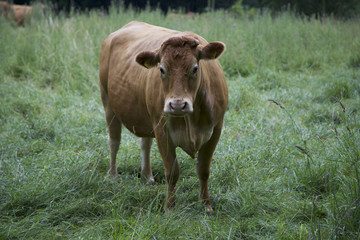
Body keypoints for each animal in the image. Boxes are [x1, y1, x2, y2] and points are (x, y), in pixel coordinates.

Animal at [98, 21, 228, 212]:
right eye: (161, 69)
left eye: (195, 68)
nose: (177, 105)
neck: (191, 121)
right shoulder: (162, 131)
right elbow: (172, 172)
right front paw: (170, 207)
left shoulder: (216, 130)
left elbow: (203, 170)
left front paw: (206, 206)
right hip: (108, 103)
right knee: (114, 141)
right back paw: (113, 175)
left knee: (145, 143)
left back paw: (147, 176)